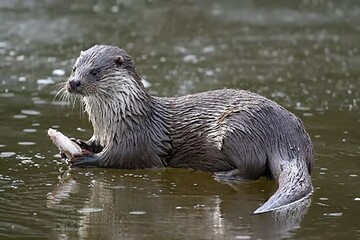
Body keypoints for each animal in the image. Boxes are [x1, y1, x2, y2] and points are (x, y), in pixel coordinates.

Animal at [62, 44, 316, 214]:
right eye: (74, 68)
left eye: (94, 71)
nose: (73, 82)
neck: (118, 118)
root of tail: (290, 138)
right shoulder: (103, 133)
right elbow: (96, 143)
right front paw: (79, 144)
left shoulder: (137, 138)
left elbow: (120, 157)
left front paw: (85, 159)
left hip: (238, 128)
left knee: (251, 166)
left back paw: (226, 176)